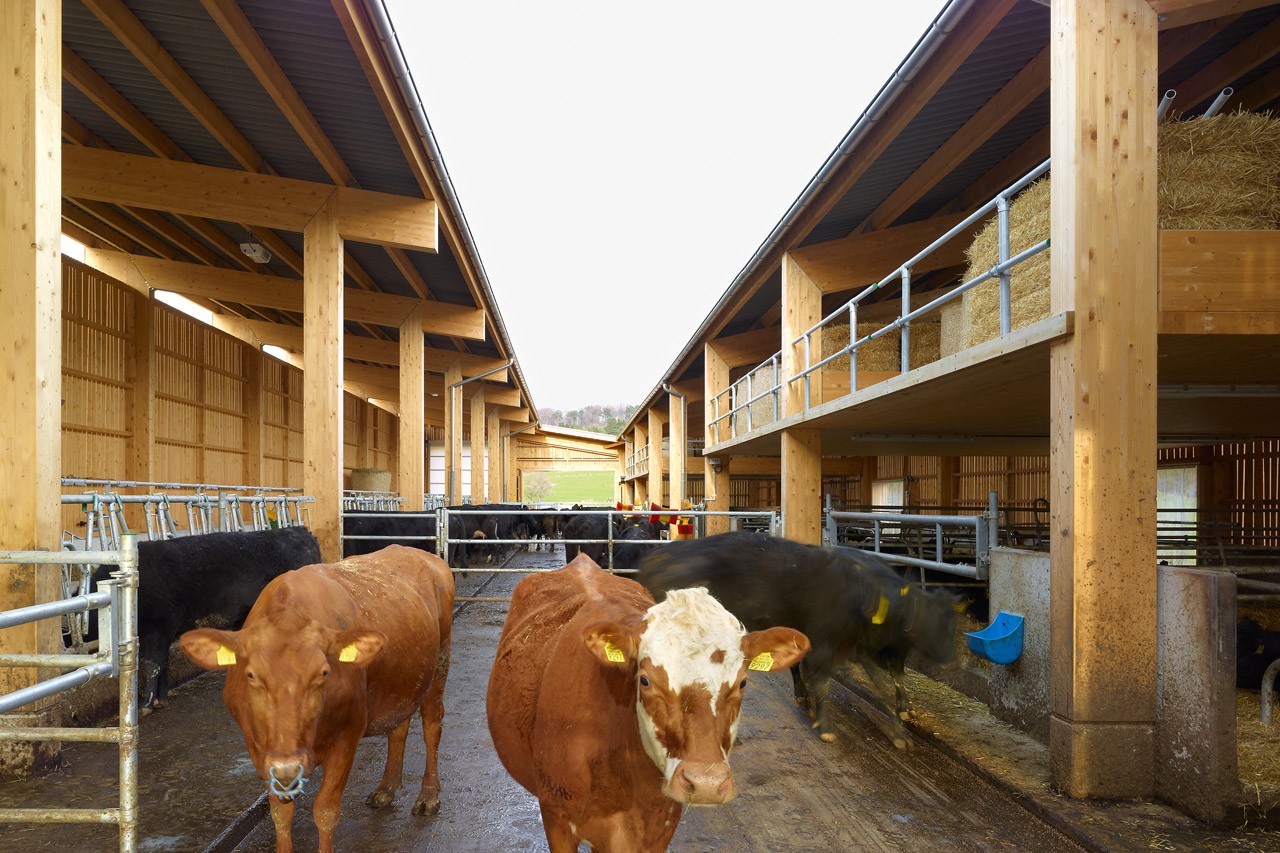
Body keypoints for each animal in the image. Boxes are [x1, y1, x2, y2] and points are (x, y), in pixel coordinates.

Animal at [90, 527, 320, 706]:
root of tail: (299, 531)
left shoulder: (160, 626)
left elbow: (153, 664)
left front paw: (145, 704)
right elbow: (162, 663)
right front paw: (162, 699)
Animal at [180, 545, 455, 850]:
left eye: (323, 672)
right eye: (251, 675)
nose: (288, 765)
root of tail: (424, 555)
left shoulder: (347, 738)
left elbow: (325, 811)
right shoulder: (257, 748)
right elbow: (280, 813)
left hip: (439, 663)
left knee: (432, 725)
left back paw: (429, 795)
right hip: (402, 681)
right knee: (398, 728)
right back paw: (386, 789)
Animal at [634, 527, 957, 747]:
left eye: (949, 622)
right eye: (919, 622)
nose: (949, 658)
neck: (861, 593)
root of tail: (659, 556)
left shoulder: (858, 647)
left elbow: (882, 686)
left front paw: (900, 730)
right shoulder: (825, 645)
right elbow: (824, 682)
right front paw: (825, 725)